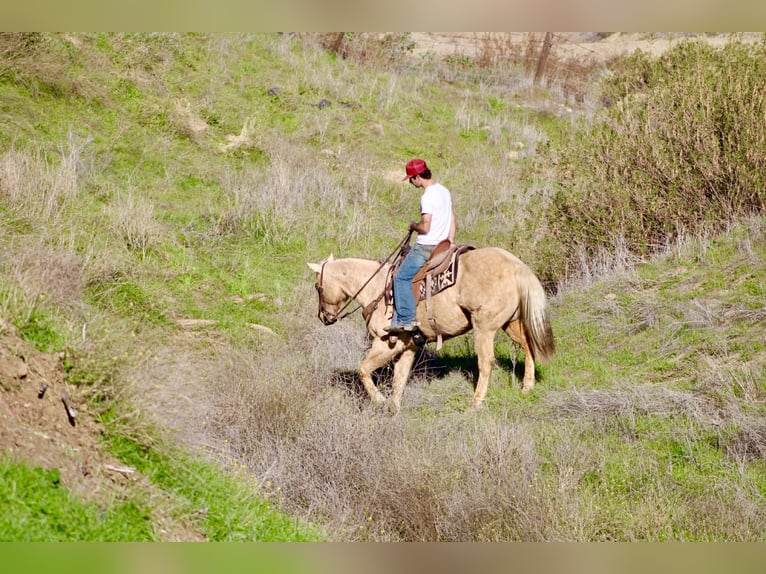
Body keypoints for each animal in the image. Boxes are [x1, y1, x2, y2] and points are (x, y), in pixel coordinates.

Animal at [307, 246, 555, 414]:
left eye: (318, 286)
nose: (324, 317)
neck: (378, 287)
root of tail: (516, 266)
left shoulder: (386, 343)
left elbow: (364, 370)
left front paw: (379, 401)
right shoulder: (407, 346)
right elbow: (399, 379)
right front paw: (393, 408)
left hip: (483, 328)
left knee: (486, 362)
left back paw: (474, 404)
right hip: (510, 324)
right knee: (528, 346)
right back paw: (527, 387)